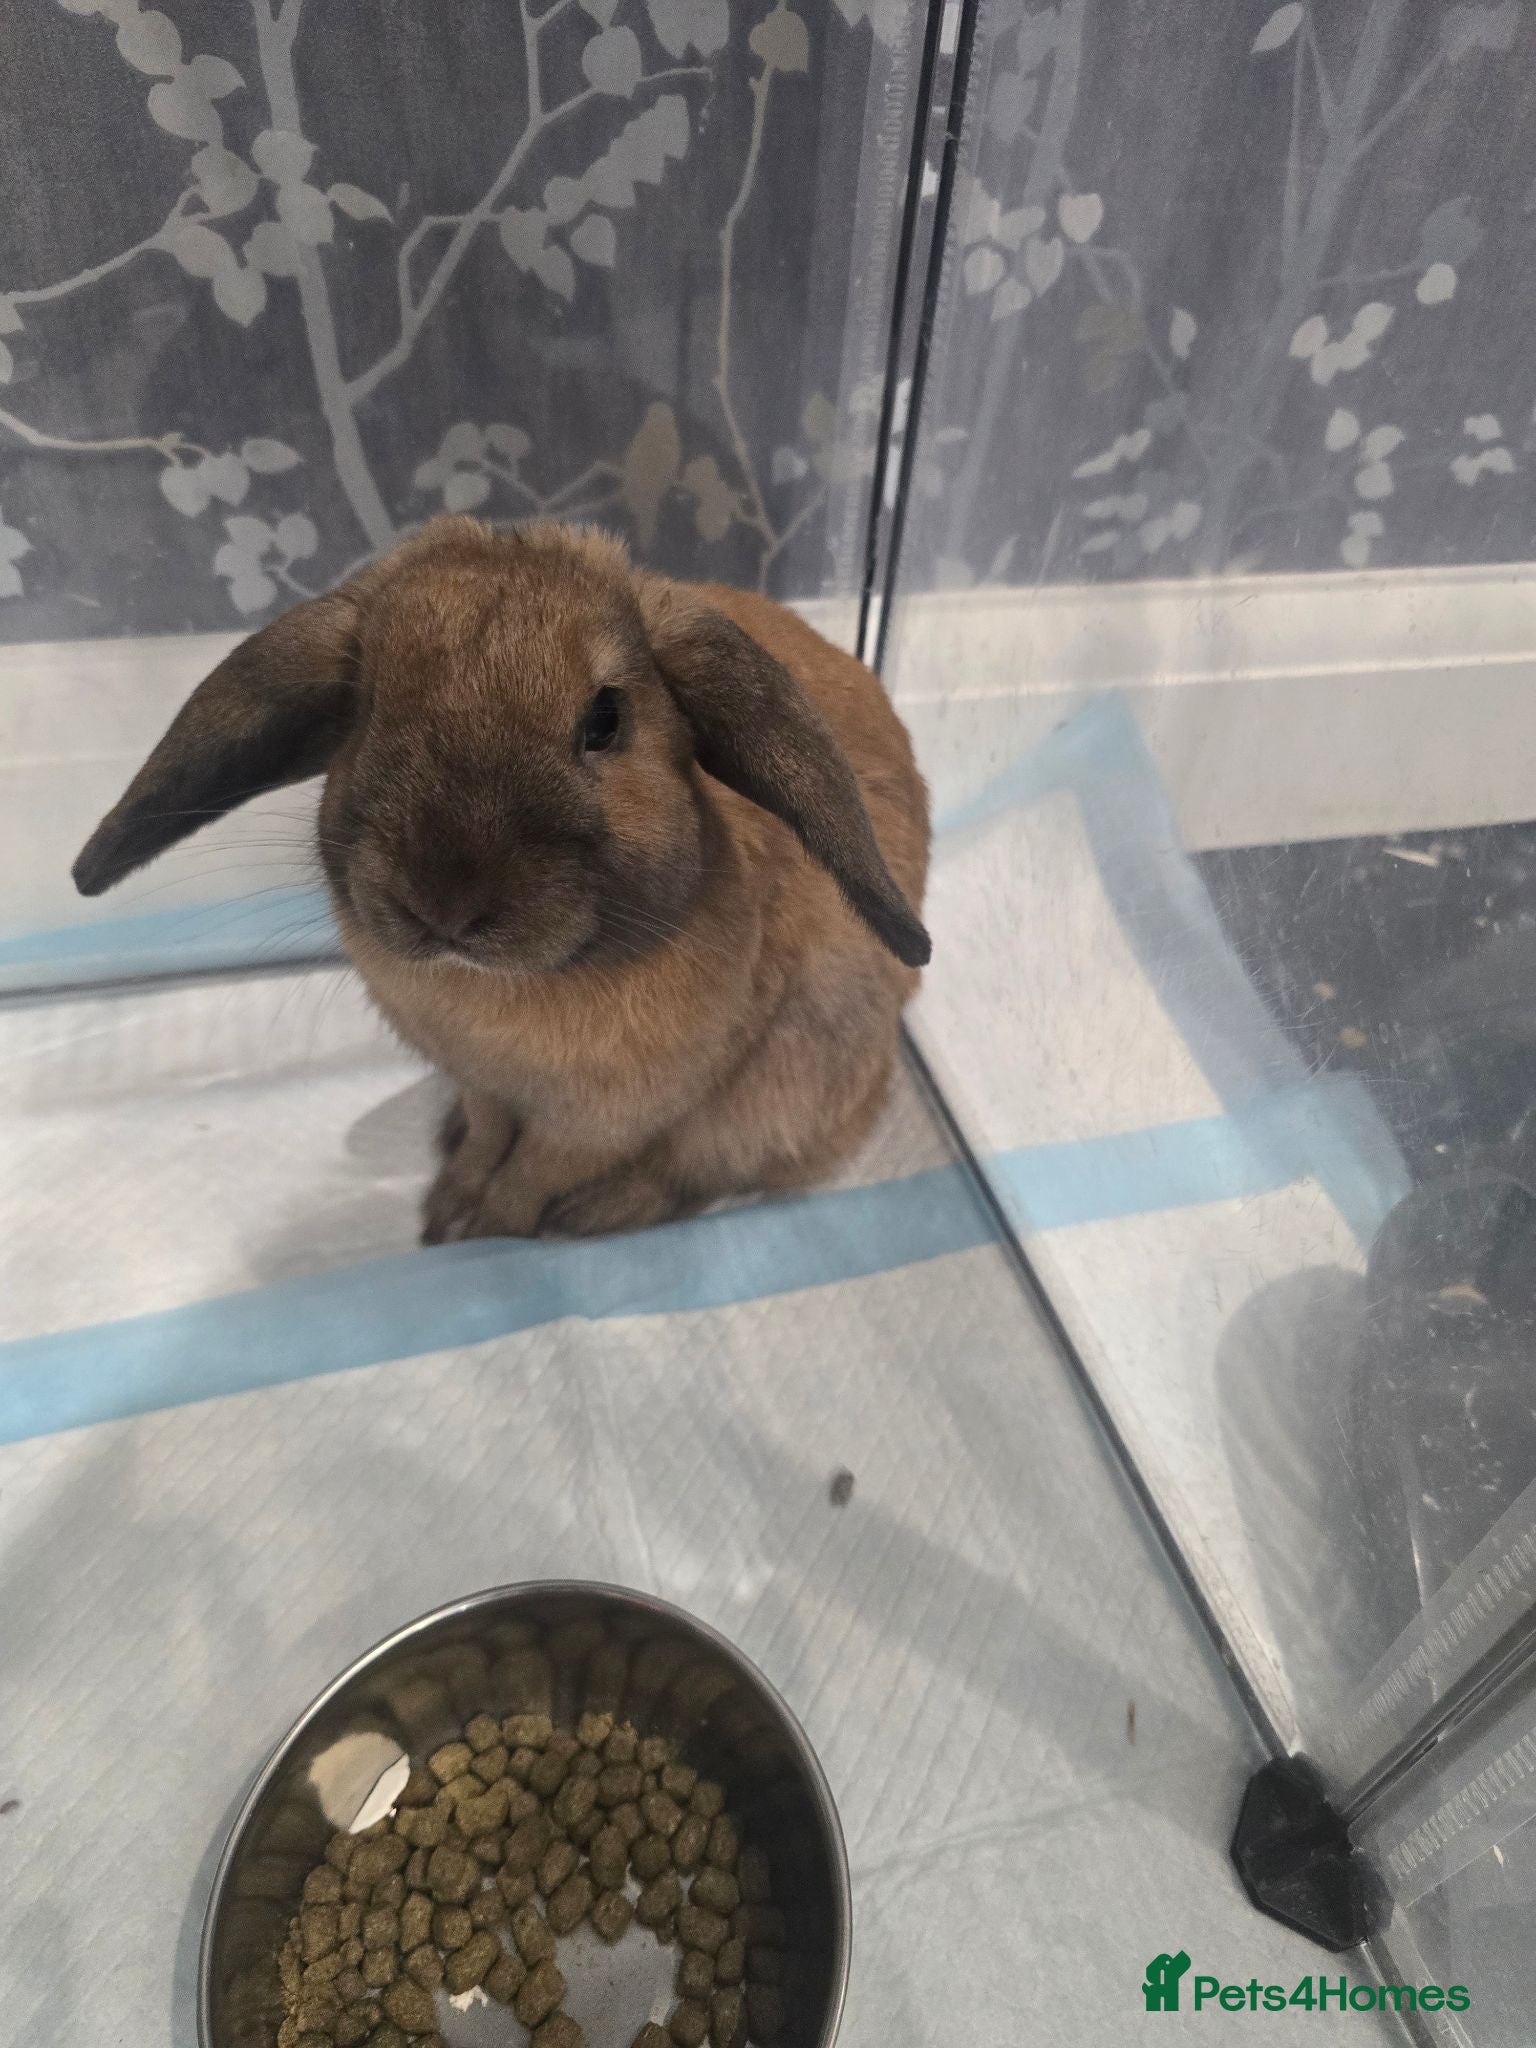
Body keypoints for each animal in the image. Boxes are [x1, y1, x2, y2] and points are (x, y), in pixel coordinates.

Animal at [72, 517, 931, 1241]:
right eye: (367, 706)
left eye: (606, 720)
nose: (444, 902)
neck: (504, 994)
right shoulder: (481, 1082)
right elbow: (488, 1140)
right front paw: (445, 1209)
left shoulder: (602, 1118)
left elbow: (534, 1175)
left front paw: (484, 1233)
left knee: (701, 1170)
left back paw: (598, 1214)